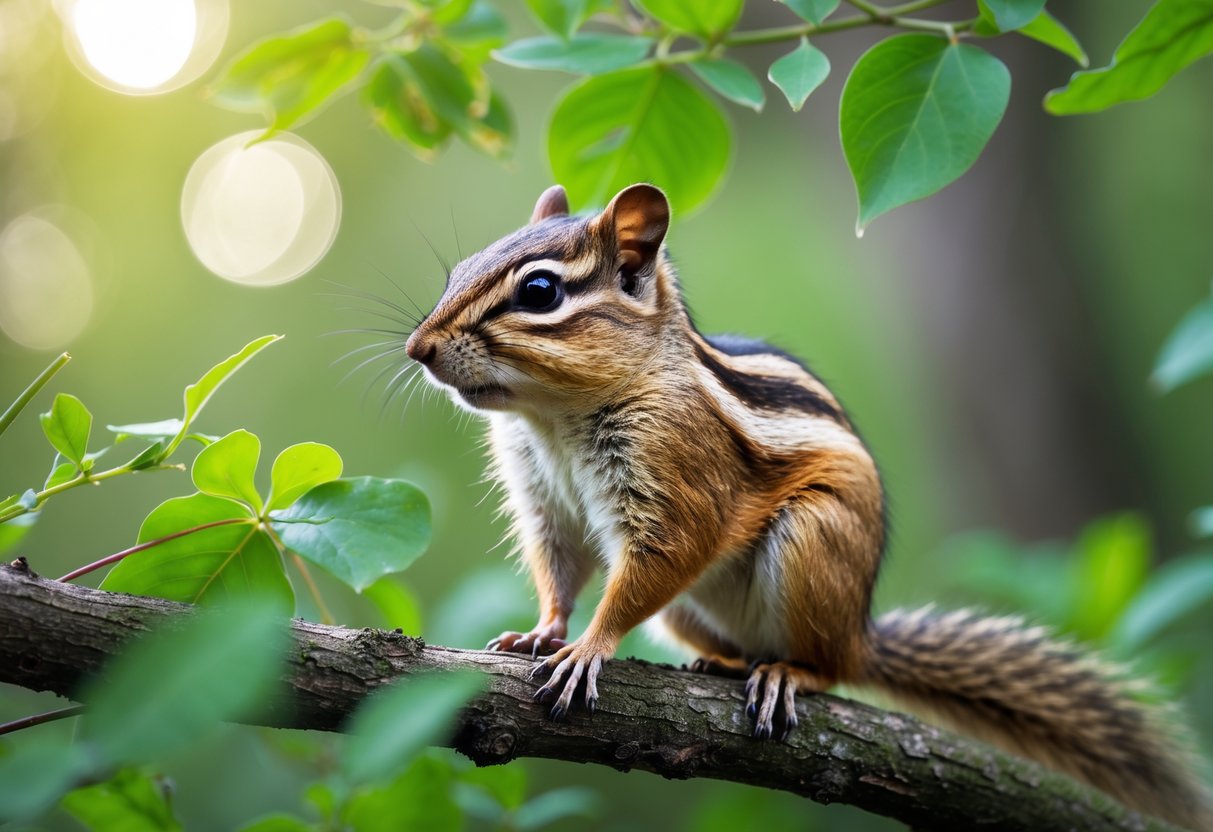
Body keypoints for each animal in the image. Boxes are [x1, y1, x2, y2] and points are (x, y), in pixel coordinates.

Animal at [404, 183, 1212, 829]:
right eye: (459, 271)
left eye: (540, 292)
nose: (418, 348)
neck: (554, 417)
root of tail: (861, 632)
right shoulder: (544, 497)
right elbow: (560, 567)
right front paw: (543, 632)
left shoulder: (676, 477)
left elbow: (662, 555)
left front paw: (587, 649)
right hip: (688, 612)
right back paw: (724, 665)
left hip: (812, 542)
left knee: (826, 665)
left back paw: (788, 673)